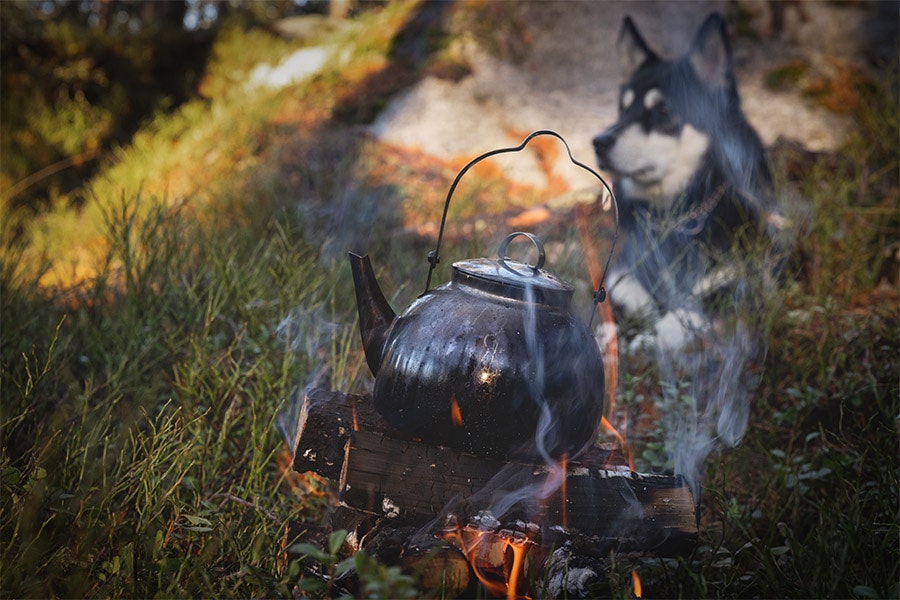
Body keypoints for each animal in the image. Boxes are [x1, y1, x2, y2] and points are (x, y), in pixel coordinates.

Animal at [596, 12, 784, 352]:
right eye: (623, 108)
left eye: (662, 109)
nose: (599, 142)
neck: (673, 220)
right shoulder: (621, 279)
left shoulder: (734, 284)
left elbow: (672, 322)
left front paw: (640, 342)